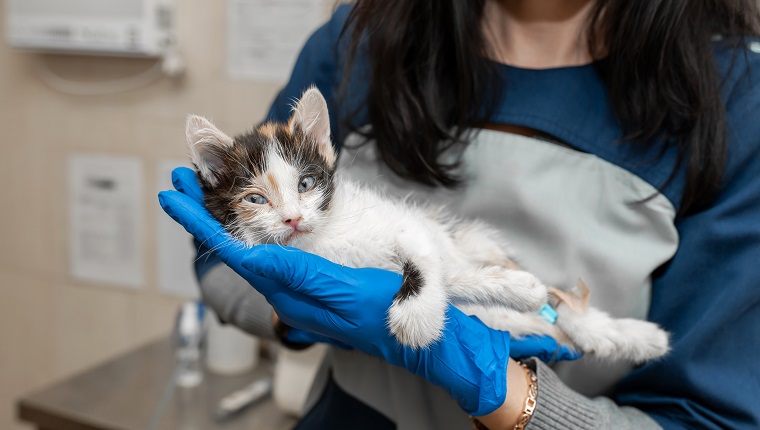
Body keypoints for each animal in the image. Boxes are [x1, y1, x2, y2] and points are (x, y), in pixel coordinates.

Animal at [187, 87, 668, 362]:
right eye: (255, 199)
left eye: (305, 184)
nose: (292, 217)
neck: (322, 242)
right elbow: (450, 277)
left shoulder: (404, 224)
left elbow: (425, 262)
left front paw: (418, 315)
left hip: (472, 237)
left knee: (558, 305)